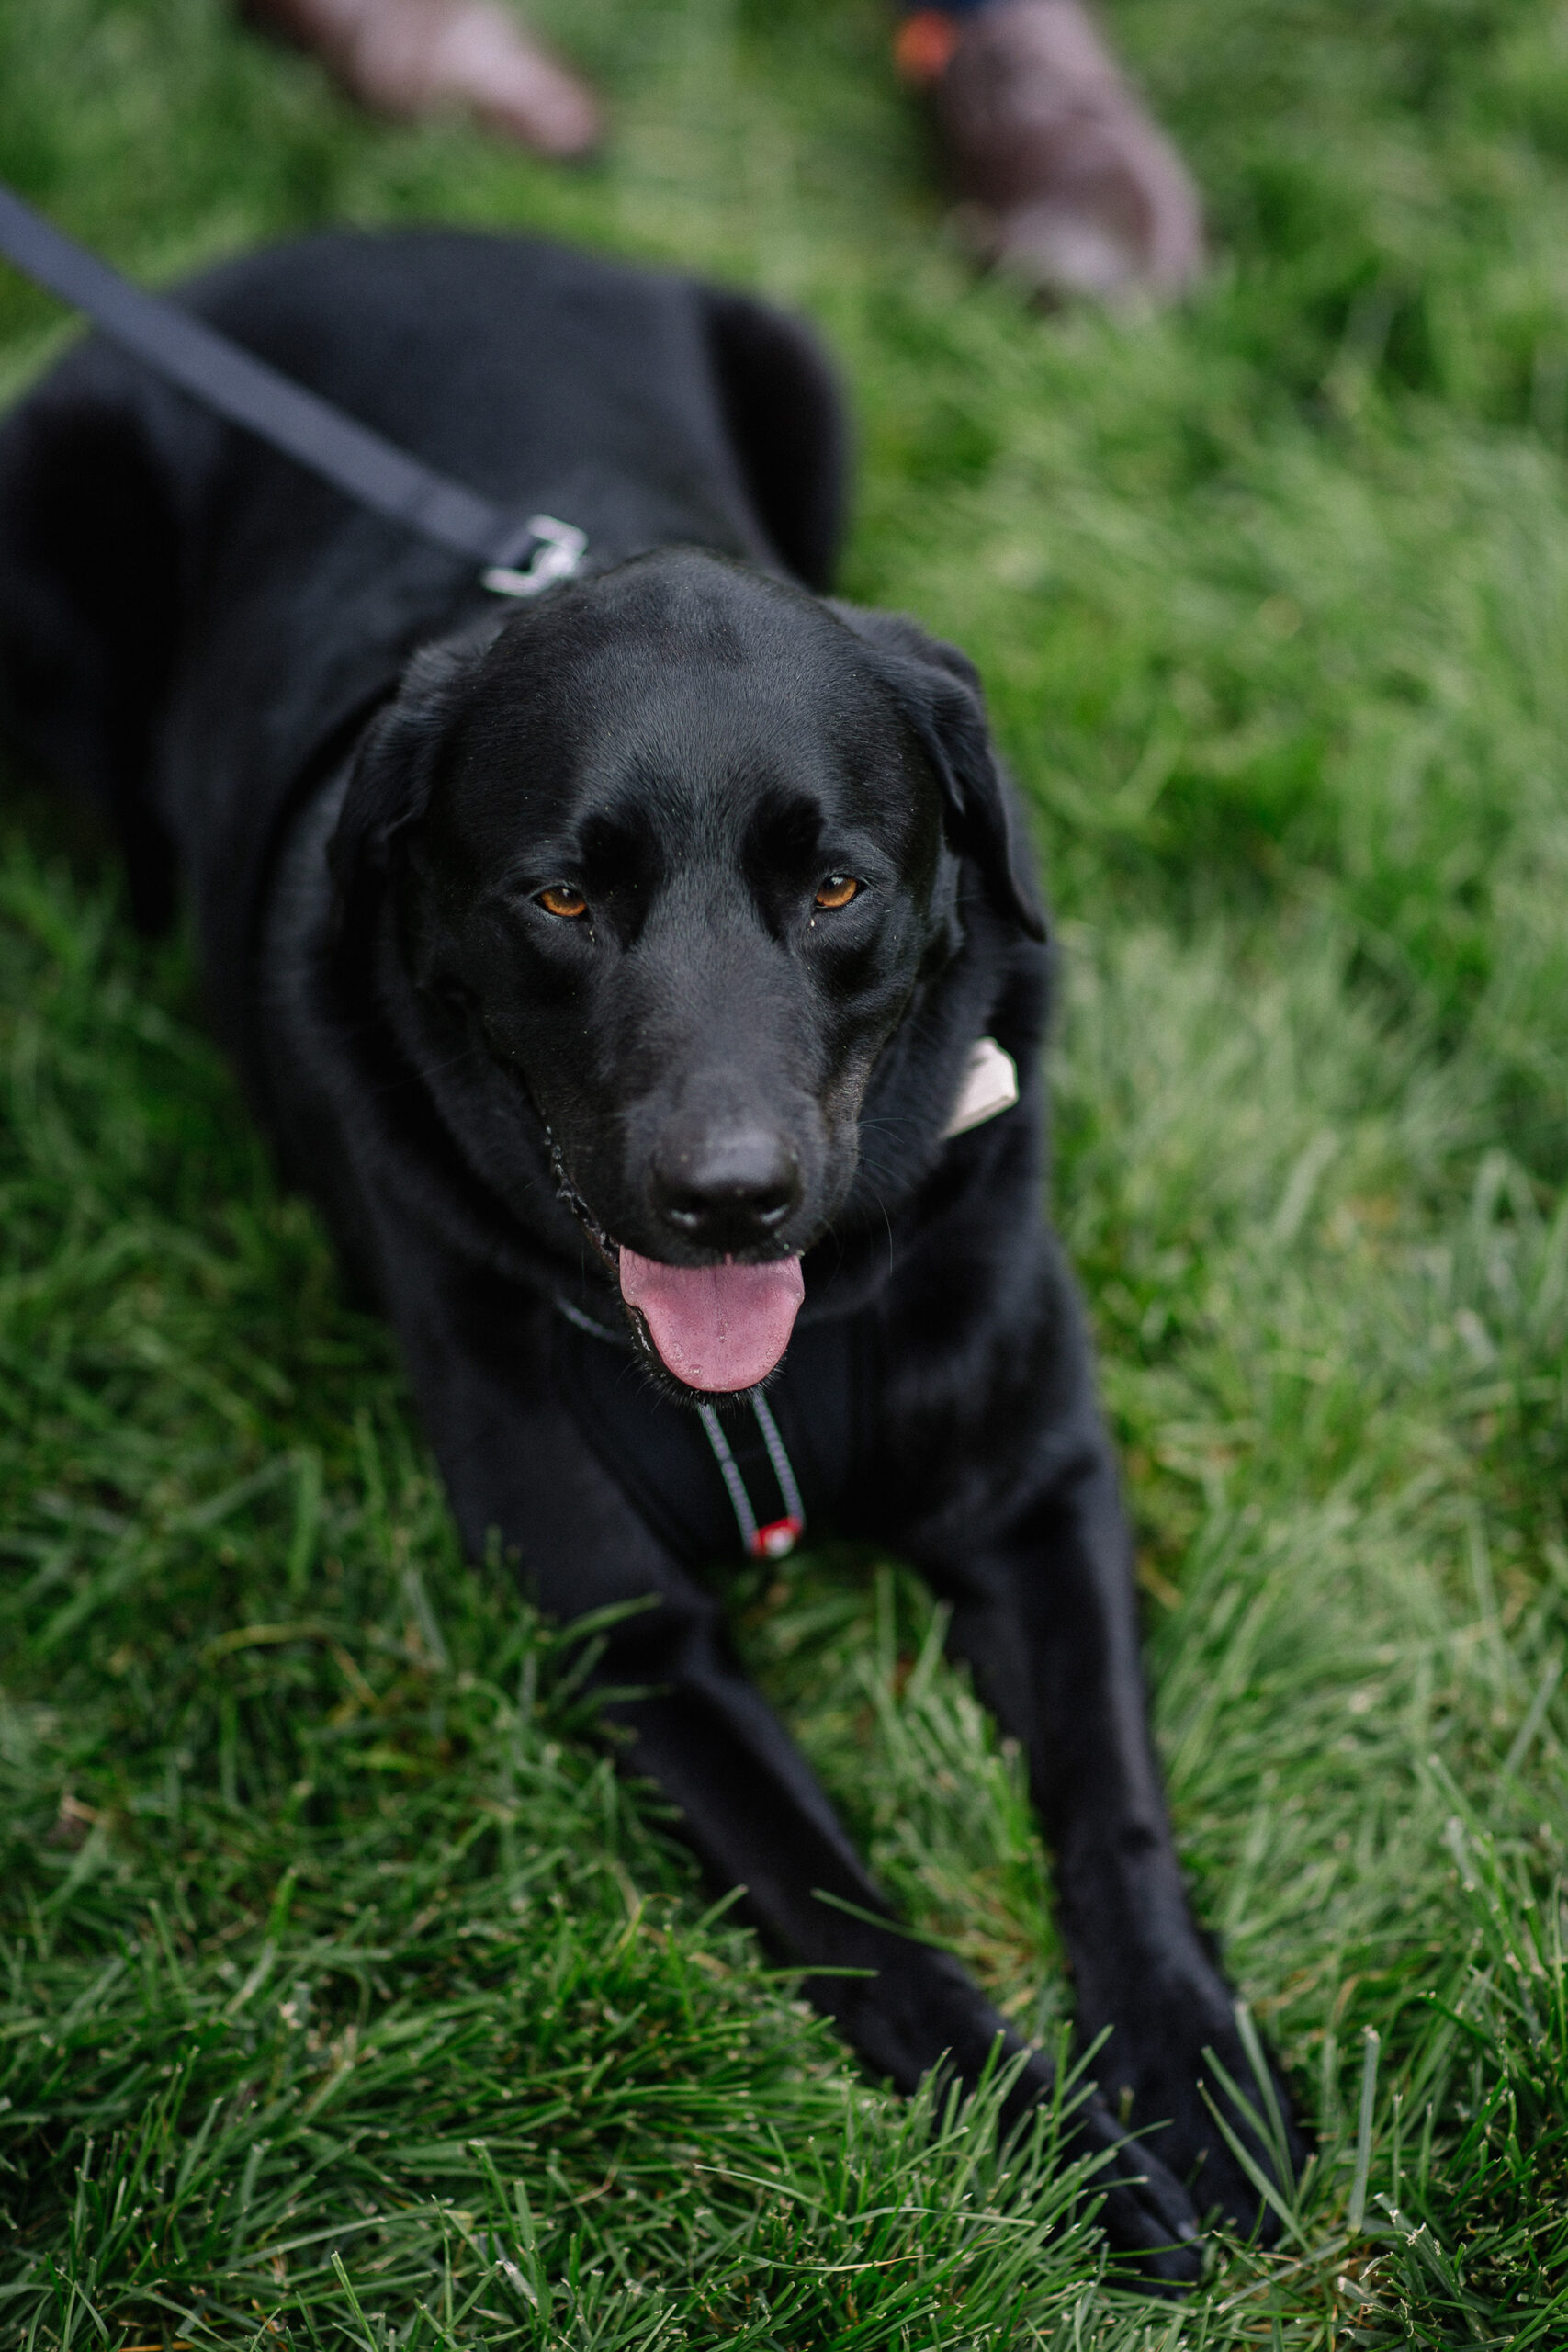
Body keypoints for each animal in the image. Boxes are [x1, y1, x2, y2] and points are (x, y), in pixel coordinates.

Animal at [0, 233, 1297, 2277]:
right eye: (558, 894)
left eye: (836, 883)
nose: (726, 1197)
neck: (777, 1365)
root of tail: (363, 235)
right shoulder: (628, 1633)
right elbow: (858, 1917)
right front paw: (1076, 2156)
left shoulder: (1041, 1486)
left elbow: (1114, 1803)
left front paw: (1191, 2070)